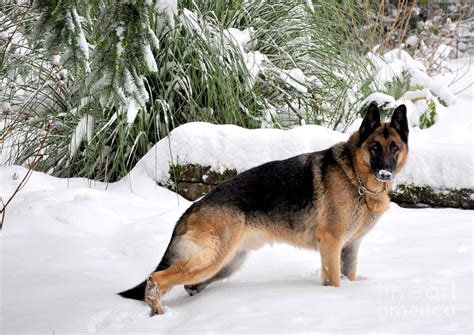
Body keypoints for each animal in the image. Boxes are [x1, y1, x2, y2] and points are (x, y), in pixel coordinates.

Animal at [117, 101, 408, 316]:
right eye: (374, 147)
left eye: (394, 148)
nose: (385, 173)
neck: (356, 179)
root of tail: (192, 208)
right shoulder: (331, 244)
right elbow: (335, 280)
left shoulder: (350, 247)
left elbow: (349, 274)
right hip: (211, 259)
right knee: (156, 278)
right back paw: (159, 313)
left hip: (227, 264)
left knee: (187, 284)